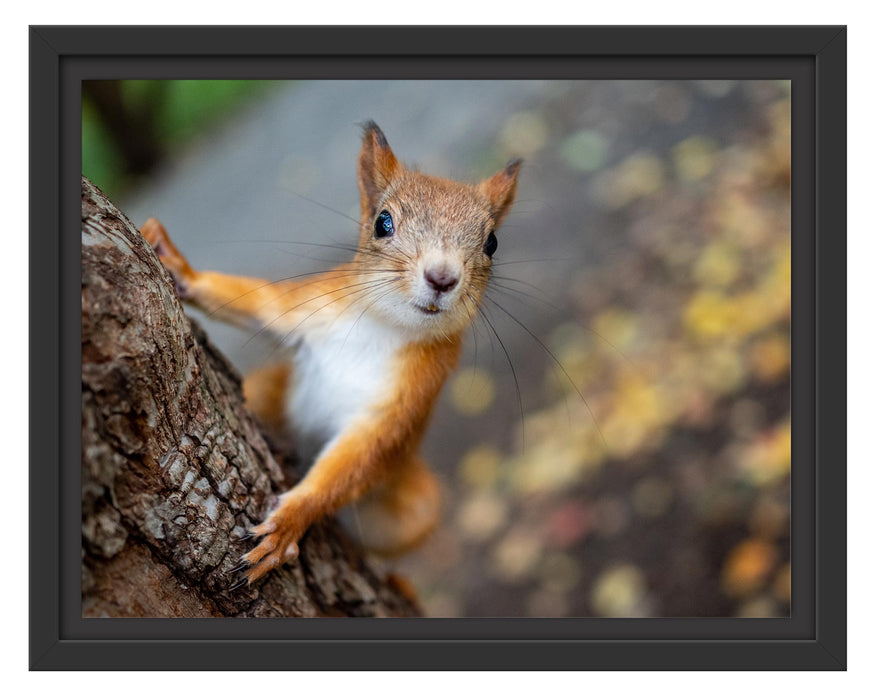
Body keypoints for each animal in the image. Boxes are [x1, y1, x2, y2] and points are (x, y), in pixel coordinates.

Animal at [141, 121, 520, 584]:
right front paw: (177, 265)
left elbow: (357, 459)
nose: (442, 277)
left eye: (493, 243)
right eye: (383, 222)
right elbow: (259, 303)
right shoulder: (311, 305)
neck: (383, 328)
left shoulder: (409, 398)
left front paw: (289, 523)